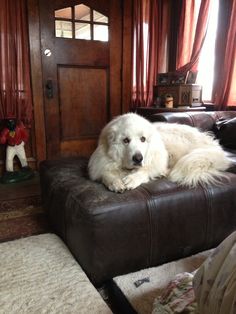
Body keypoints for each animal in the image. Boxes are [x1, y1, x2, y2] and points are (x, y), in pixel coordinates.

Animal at [88, 112, 230, 191]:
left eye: (143, 139)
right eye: (126, 140)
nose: (138, 158)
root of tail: (212, 145)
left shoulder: (157, 158)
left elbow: (146, 170)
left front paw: (133, 178)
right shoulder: (100, 163)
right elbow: (105, 173)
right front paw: (115, 182)